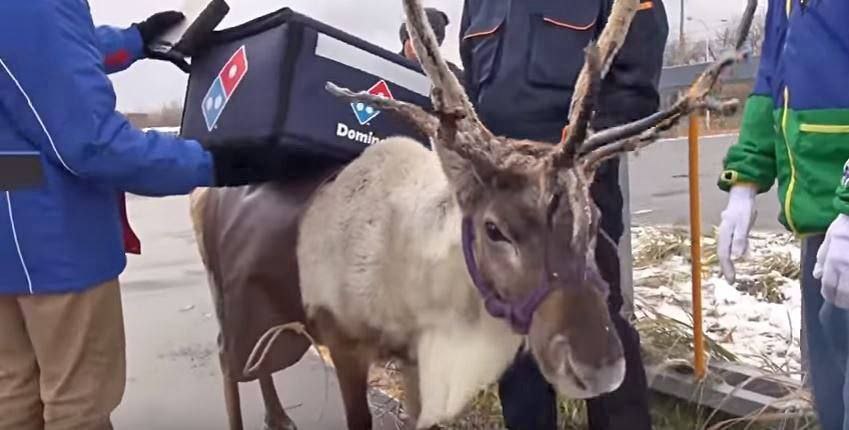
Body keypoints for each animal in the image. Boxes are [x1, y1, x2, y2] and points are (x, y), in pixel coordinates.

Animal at [189, 0, 758, 428]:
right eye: (494, 229)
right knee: (225, 359)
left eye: (594, 221)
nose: (599, 368)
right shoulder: (344, 342)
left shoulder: (413, 359)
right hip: (226, 294)